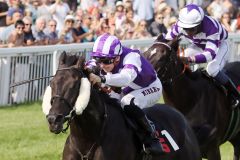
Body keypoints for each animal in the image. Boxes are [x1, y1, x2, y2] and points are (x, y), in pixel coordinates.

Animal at [41, 52, 201, 160]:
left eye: (74, 85)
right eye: (52, 83)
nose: (53, 119)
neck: (87, 138)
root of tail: (180, 117)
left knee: (129, 102)